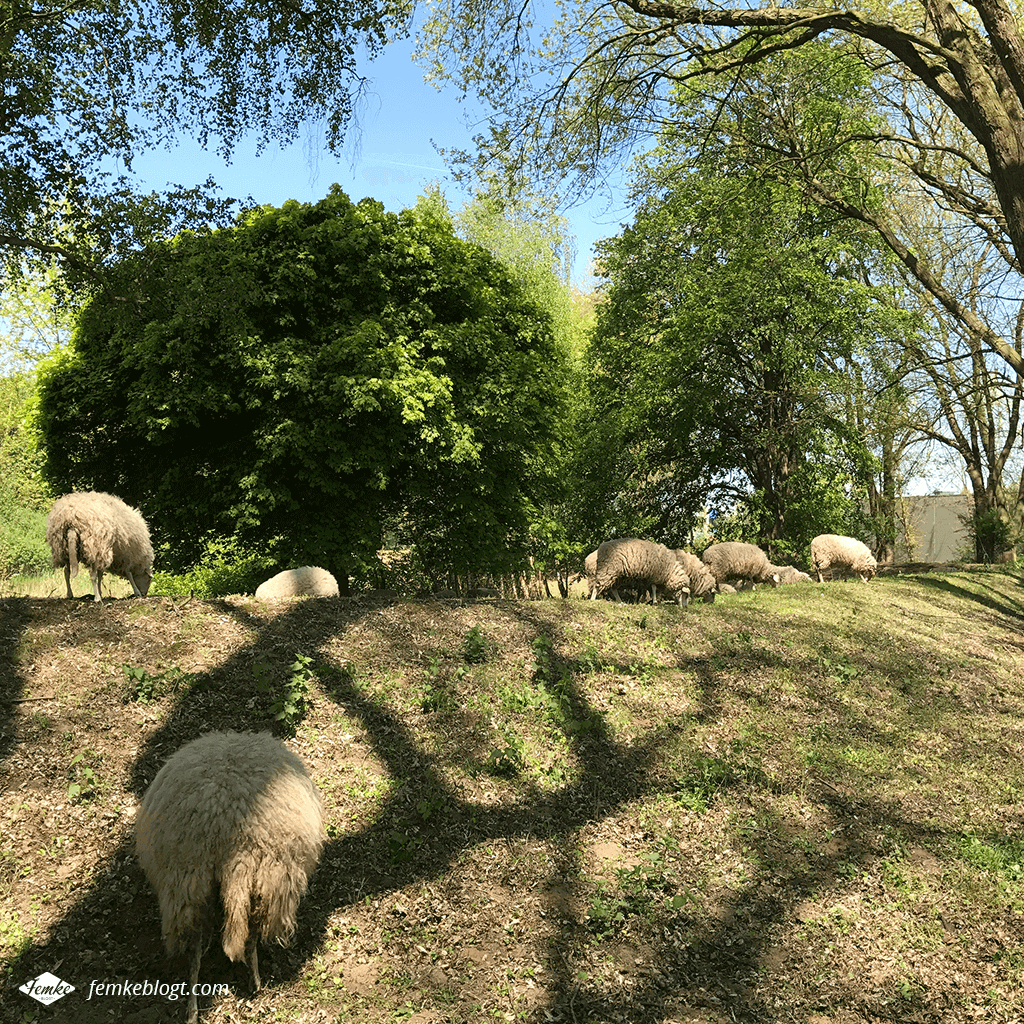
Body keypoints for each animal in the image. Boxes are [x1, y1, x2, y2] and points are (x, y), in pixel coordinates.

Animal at [136, 733, 325, 1019]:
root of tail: (224, 828)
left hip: (188, 882)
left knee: (196, 941)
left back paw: (193, 1007)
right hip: (270, 875)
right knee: (253, 928)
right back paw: (255, 981)